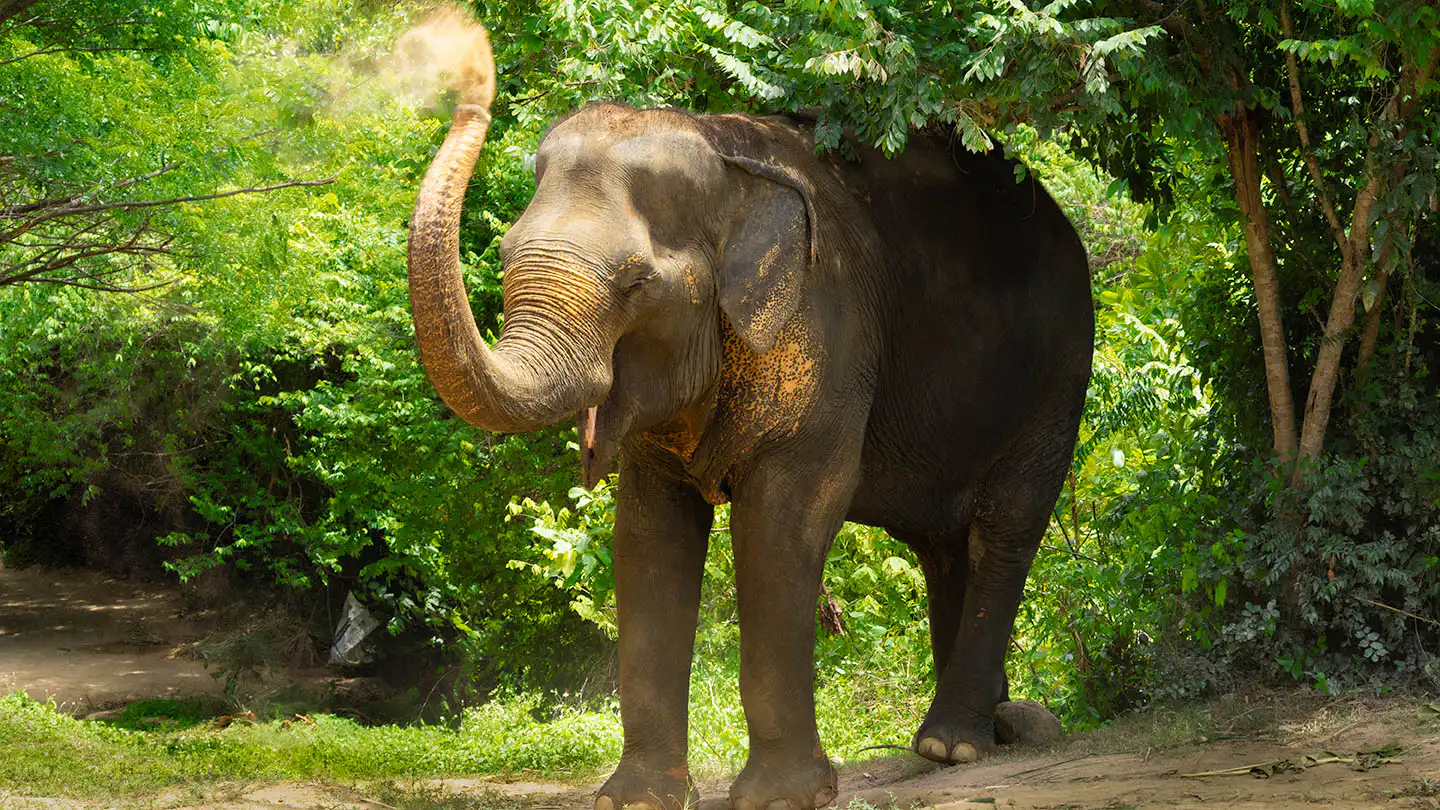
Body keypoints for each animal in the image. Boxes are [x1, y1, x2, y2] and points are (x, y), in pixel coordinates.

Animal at [407, 22, 1092, 810]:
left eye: (635, 283)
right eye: (506, 254)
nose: (468, 68)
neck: (725, 157)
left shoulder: (825, 323)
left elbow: (785, 517)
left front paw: (782, 797)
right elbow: (646, 529)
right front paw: (634, 799)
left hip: (1059, 378)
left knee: (1006, 529)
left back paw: (953, 745)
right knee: (947, 548)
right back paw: (986, 731)